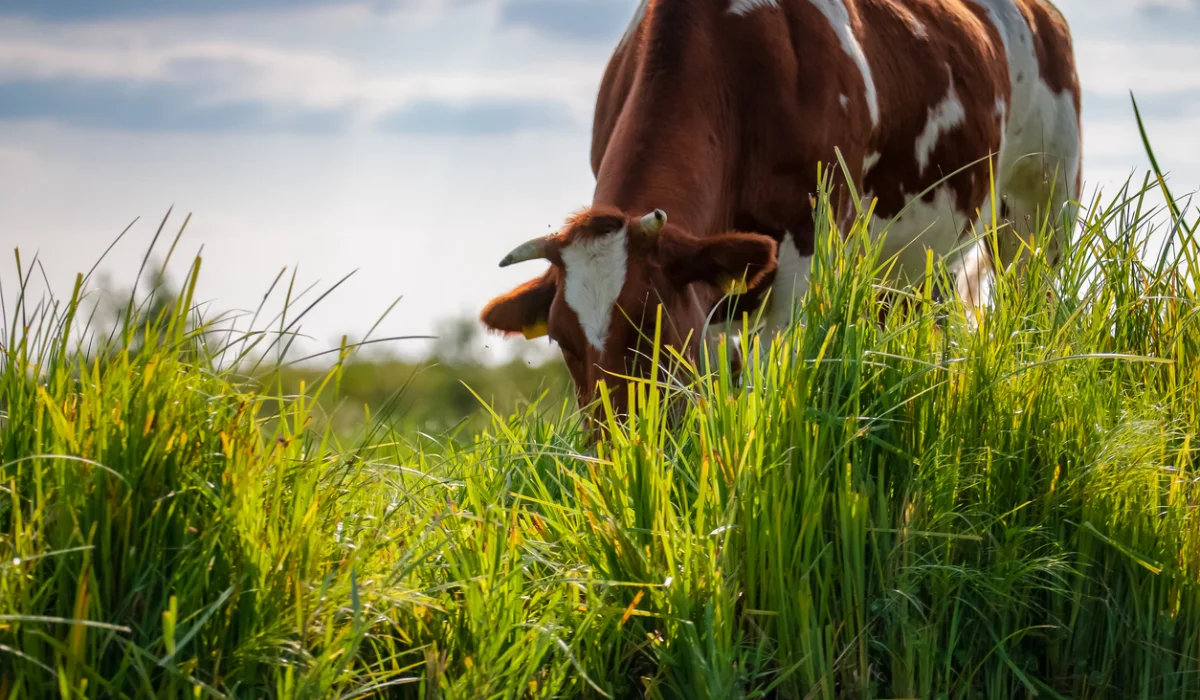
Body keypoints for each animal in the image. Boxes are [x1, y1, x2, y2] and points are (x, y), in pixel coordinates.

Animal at [480, 0, 1089, 420]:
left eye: (651, 322)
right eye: (561, 339)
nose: (617, 451)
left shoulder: (803, 252)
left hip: (1041, 211)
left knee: (1033, 315)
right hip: (914, 265)